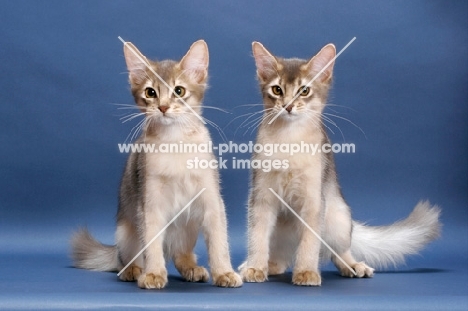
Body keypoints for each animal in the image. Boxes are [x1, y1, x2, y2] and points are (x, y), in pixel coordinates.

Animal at [73, 39, 243, 290]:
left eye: (179, 91)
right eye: (150, 92)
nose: (163, 107)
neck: (175, 144)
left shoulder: (212, 200)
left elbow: (219, 242)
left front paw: (224, 272)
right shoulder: (150, 203)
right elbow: (152, 244)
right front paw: (153, 274)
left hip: (188, 226)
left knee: (180, 255)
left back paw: (192, 268)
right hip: (126, 233)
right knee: (129, 259)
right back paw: (134, 270)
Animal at [239, 42, 440, 288]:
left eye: (304, 91)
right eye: (277, 90)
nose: (287, 107)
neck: (289, 139)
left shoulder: (314, 200)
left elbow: (310, 242)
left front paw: (306, 272)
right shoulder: (261, 196)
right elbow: (257, 236)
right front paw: (255, 267)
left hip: (338, 218)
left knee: (338, 251)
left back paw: (353, 266)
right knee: (280, 258)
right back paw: (266, 265)